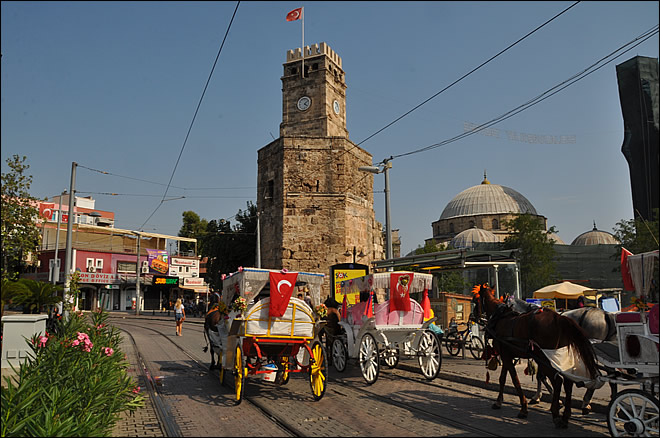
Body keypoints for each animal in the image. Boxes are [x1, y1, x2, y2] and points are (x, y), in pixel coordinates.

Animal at [472, 284, 600, 428]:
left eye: (475, 300)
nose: (472, 316)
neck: (501, 317)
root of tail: (559, 318)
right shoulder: (507, 355)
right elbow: (502, 378)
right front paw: (498, 401)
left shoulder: (506, 356)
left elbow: (515, 381)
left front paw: (523, 408)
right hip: (561, 357)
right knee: (568, 382)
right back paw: (565, 416)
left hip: (547, 358)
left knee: (558, 381)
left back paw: (556, 413)